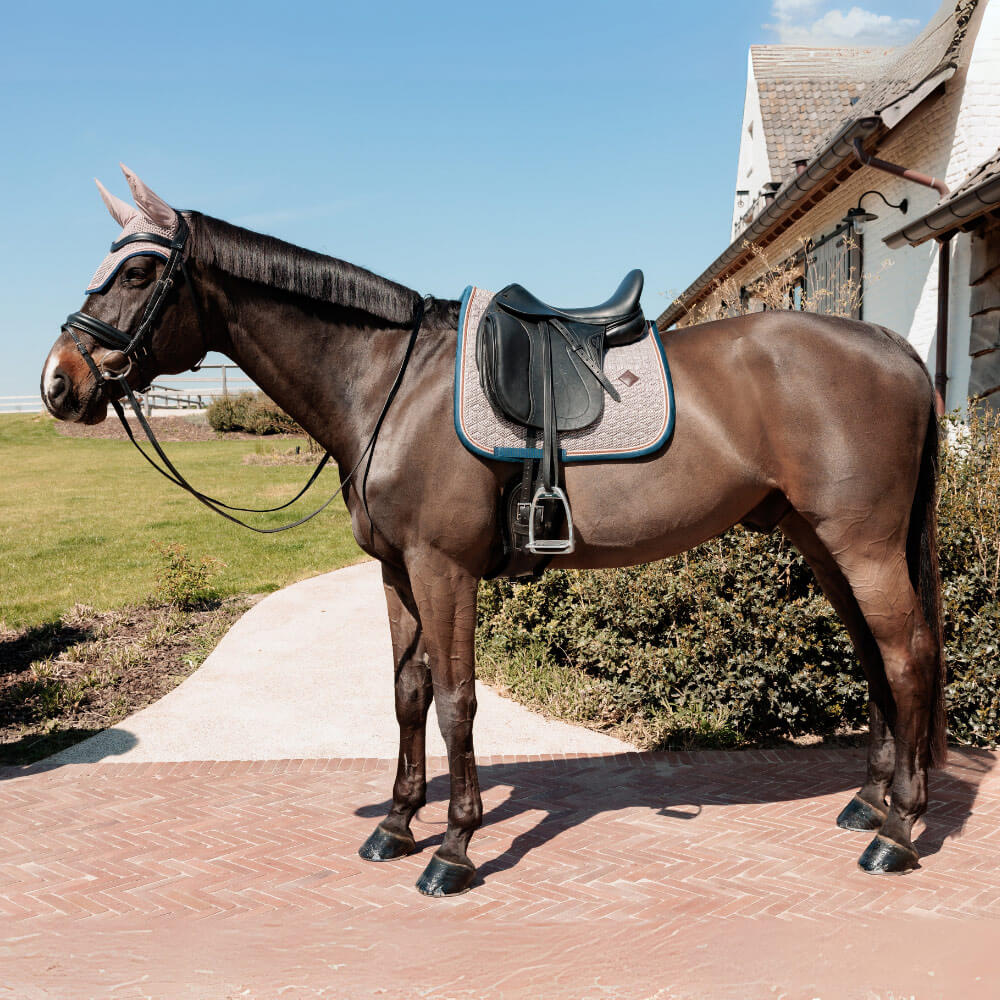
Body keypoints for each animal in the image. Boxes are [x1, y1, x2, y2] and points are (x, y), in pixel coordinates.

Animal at [42, 167, 946, 896]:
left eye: (138, 271)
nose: (59, 382)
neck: (390, 385)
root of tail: (891, 345)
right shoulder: (397, 572)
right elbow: (407, 696)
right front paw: (397, 824)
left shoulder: (444, 569)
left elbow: (456, 702)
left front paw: (455, 849)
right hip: (821, 543)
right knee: (875, 658)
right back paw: (868, 803)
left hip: (863, 546)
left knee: (907, 657)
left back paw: (899, 831)